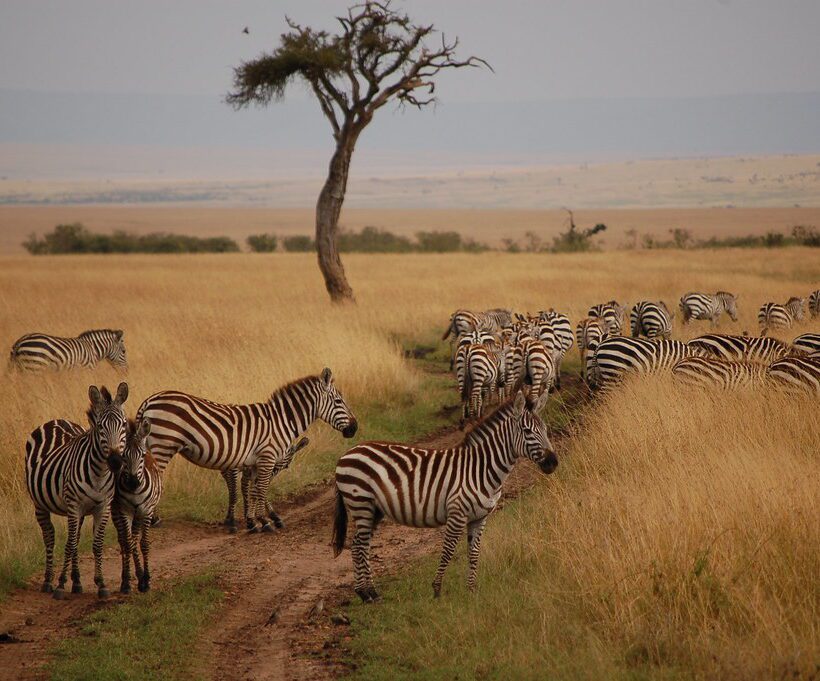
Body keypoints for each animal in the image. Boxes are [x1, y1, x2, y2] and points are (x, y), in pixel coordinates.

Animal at [25, 382, 129, 600]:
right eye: (100, 427)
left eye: (124, 425)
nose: (115, 462)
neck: (99, 473)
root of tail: (56, 420)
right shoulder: (74, 505)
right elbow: (70, 543)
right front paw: (60, 584)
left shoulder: (103, 506)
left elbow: (96, 544)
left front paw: (101, 584)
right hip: (40, 503)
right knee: (50, 536)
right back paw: (49, 581)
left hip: (77, 511)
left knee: (76, 536)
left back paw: (77, 582)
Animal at [136, 370, 358, 532]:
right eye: (339, 402)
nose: (355, 428)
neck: (281, 421)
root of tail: (149, 400)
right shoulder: (267, 457)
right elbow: (261, 488)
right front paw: (264, 522)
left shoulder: (253, 462)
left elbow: (252, 490)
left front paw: (253, 521)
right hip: (162, 445)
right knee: (153, 478)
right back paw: (154, 519)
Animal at [334, 390, 556, 604]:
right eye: (527, 431)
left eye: (545, 430)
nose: (553, 463)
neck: (481, 468)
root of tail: (348, 452)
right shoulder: (457, 513)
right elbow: (448, 550)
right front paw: (437, 589)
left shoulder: (480, 518)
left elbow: (474, 553)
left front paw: (471, 591)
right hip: (361, 503)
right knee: (360, 546)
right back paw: (367, 593)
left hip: (374, 509)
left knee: (358, 545)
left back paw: (367, 593)